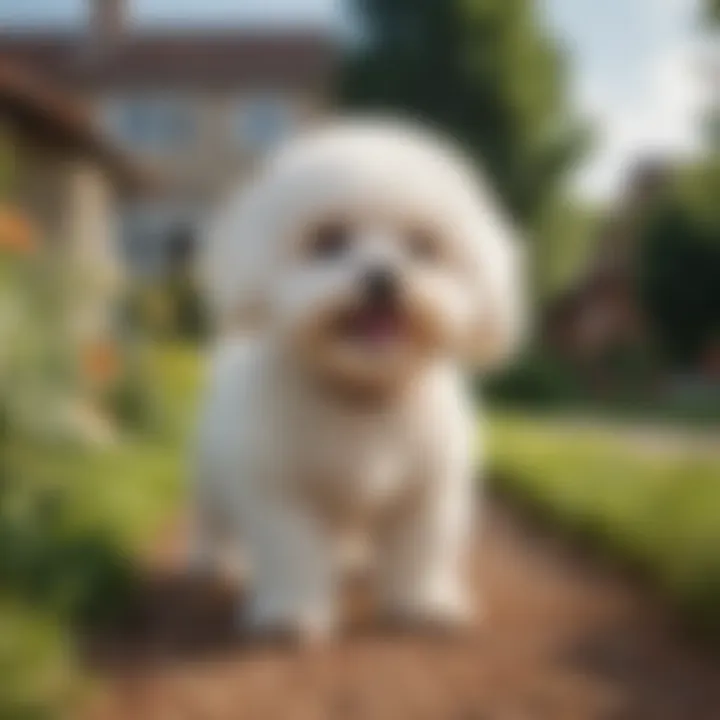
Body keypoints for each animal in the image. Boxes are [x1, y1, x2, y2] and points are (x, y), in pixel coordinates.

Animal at [191, 116, 524, 640]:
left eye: (423, 245)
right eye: (329, 239)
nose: (383, 277)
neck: (362, 392)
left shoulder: (426, 494)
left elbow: (420, 550)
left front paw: (424, 603)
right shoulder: (284, 494)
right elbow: (291, 551)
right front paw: (292, 613)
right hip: (212, 477)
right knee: (214, 521)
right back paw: (214, 562)